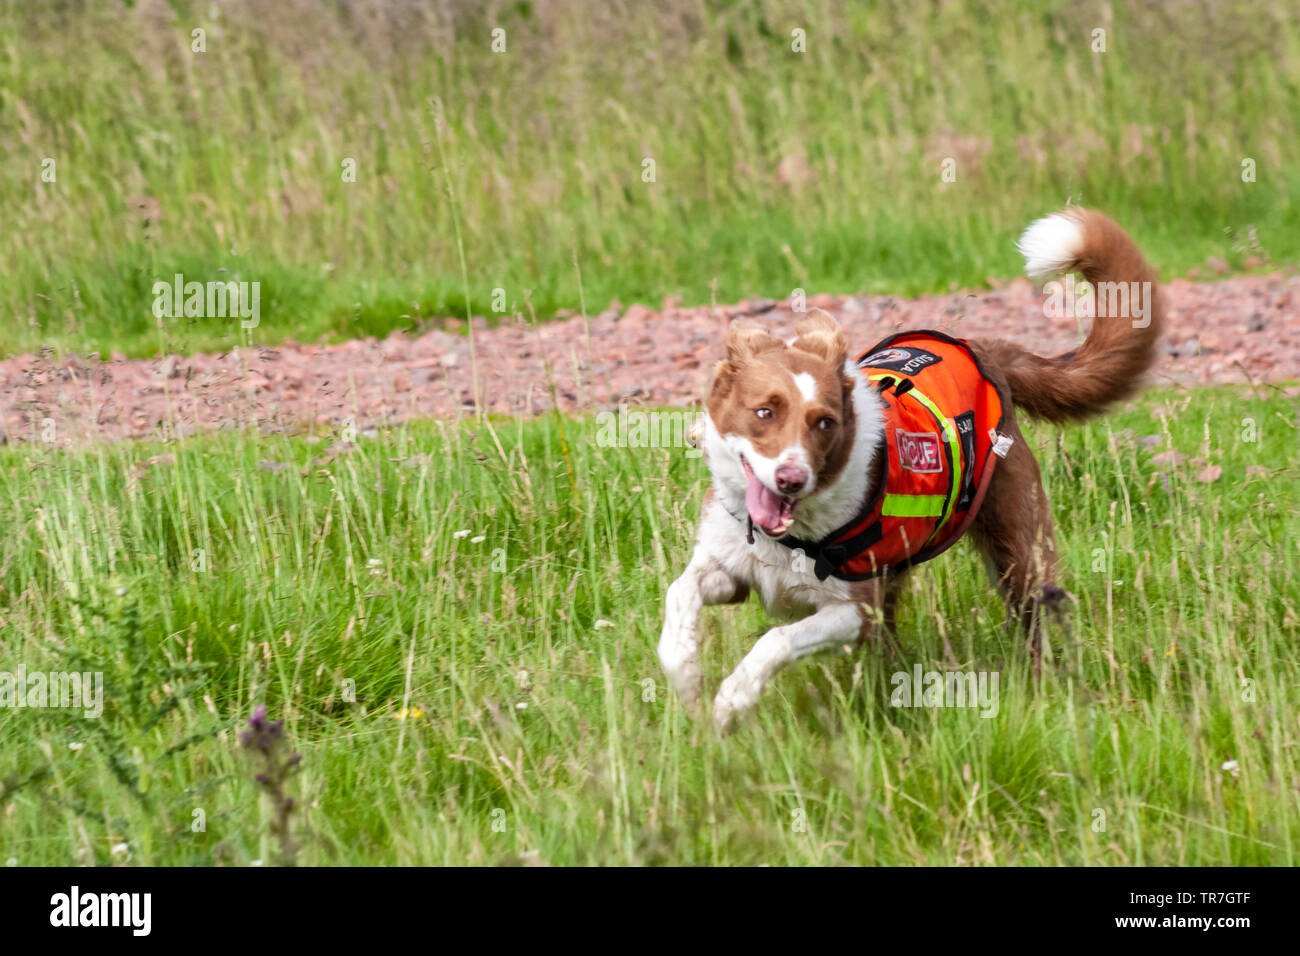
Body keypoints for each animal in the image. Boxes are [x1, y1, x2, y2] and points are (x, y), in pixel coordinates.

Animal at [660, 209, 1170, 728]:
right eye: (764, 412)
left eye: (824, 422)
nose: (791, 479)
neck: (790, 536)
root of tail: (985, 350)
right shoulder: (729, 569)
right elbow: (678, 596)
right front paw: (687, 677)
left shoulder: (853, 611)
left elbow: (776, 639)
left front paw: (732, 699)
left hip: (1017, 549)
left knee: (1035, 615)